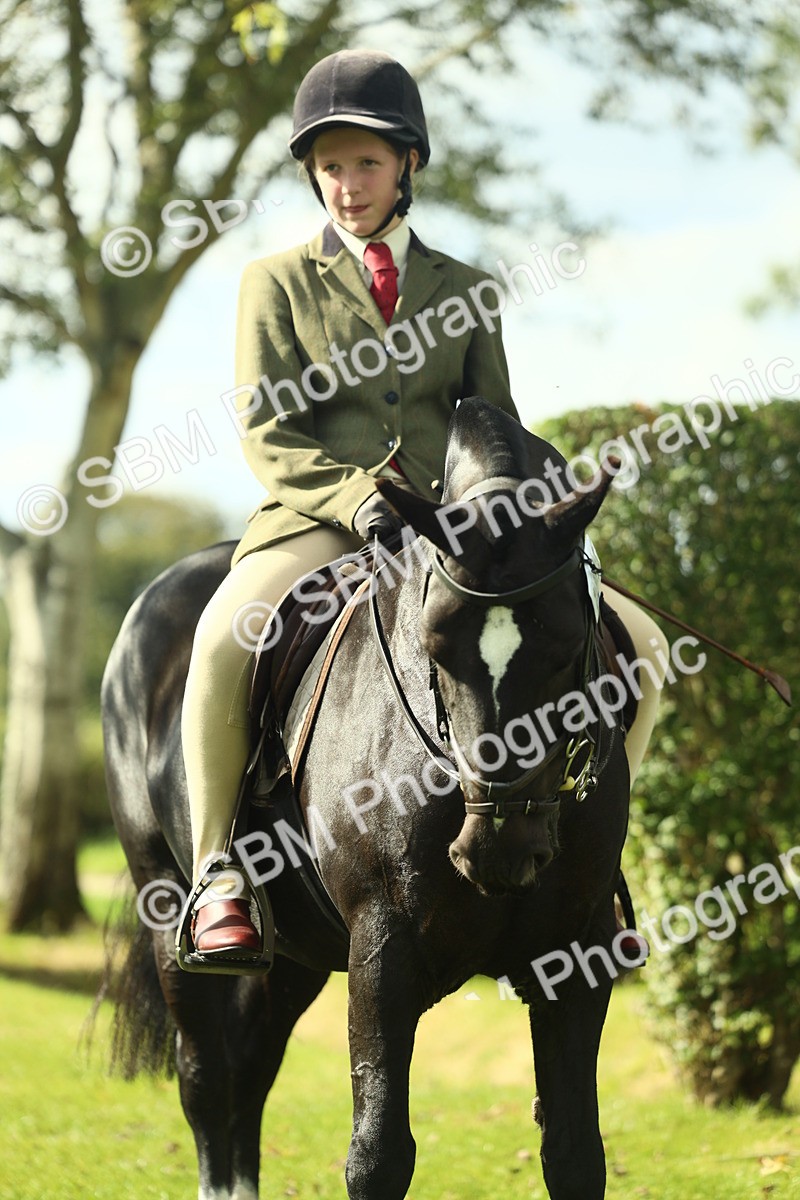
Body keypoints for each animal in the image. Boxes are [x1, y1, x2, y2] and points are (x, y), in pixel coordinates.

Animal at [102, 396, 633, 1200]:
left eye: (569, 644)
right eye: (437, 645)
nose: (500, 846)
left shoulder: (578, 950)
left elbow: (575, 1153)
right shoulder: (384, 945)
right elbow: (378, 1155)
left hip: (294, 954)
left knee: (250, 1070)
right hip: (166, 907)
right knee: (206, 1079)